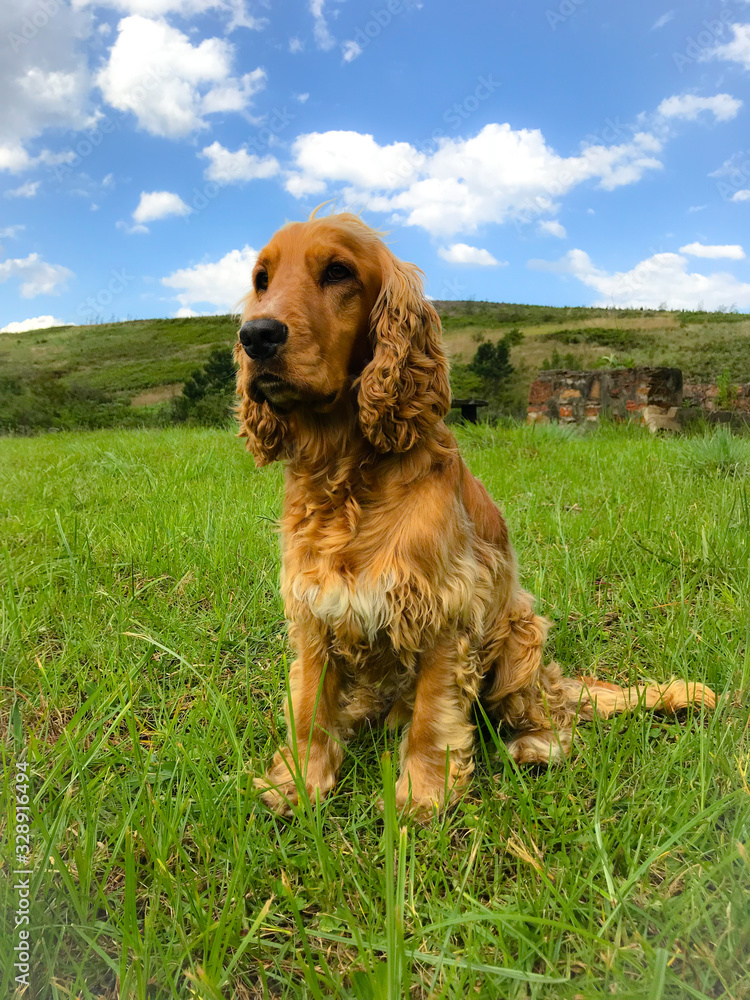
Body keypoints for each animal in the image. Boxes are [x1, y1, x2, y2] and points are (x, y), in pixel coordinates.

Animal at [235, 213, 716, 820]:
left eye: (338, 271)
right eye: (261, 279)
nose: (256, 336)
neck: (346, 472)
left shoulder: (447, 610)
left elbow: (433, 717)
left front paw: (423, 797)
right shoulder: (314, 611)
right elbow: (308, 710)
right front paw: (298, 784)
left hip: (521, 636)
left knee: (553, 713)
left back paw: (534, 747)